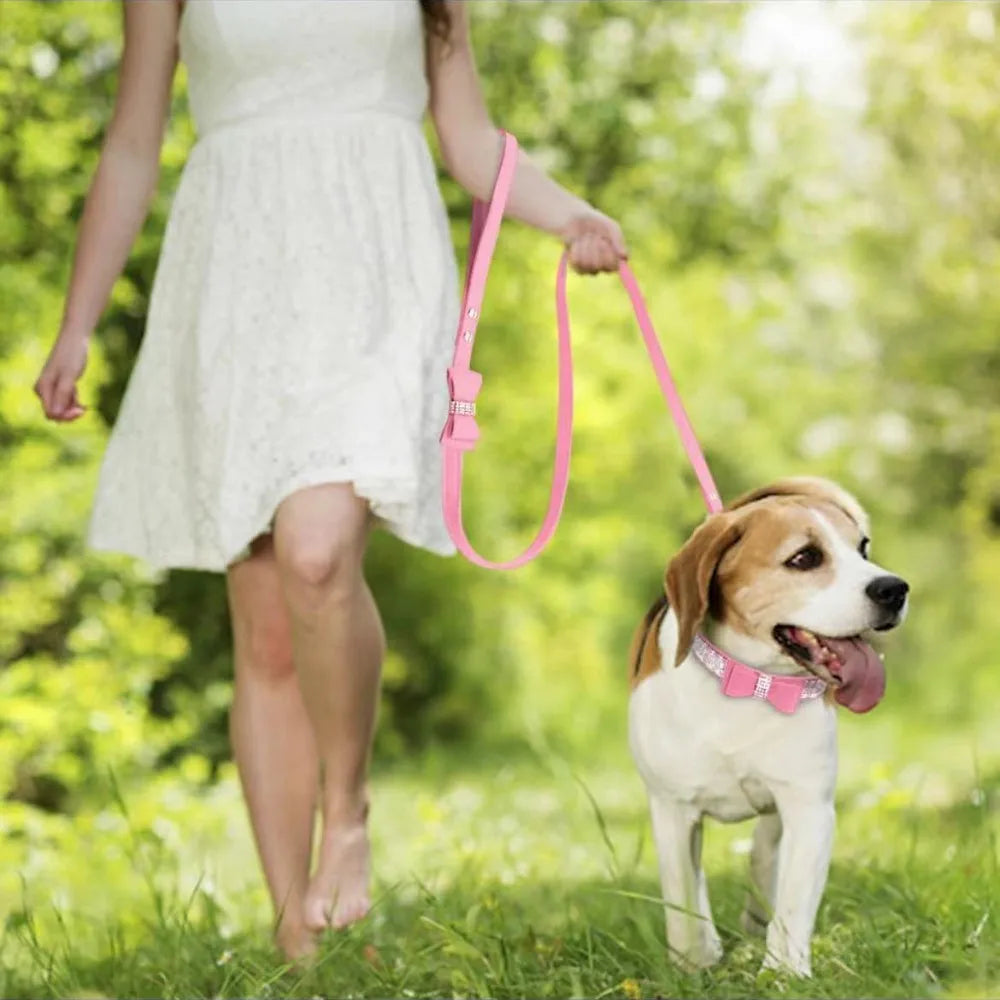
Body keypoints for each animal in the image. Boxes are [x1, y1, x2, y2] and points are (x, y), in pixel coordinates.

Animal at [628, 476, 912, 976]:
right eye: (805, 558)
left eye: (862, 548)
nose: (894, 589)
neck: (747, 683)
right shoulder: (672, 809)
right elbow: (683, 898)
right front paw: (692, 964)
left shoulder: (809, 807)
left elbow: (794, 903)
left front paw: (784, 974)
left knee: (765, 848)